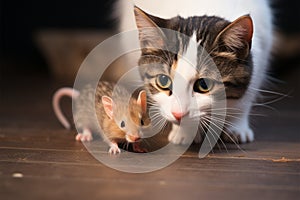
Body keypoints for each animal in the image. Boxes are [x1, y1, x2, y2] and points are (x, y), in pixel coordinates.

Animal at [113, 0, 274, 145]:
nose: (178, 114)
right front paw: (184, 132)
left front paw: (236, 126)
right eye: (163, 81)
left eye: (204, 84)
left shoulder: (262, 55)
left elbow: (244, 99)